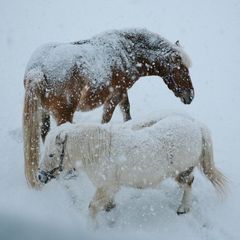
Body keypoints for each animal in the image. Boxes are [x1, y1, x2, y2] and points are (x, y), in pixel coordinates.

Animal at [23, 29, 194, 188]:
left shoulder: (123, 93)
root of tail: (38, 69)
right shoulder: (114, 96)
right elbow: (106, 120)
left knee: (45, 133)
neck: (125, 50)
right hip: (64, 114)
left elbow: (127, 112)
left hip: (44, 112)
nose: (190, 96)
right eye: (181, 69)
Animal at [38, 114, 228, 218]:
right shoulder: (109, 186)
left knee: (188, 183)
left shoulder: (106, 185)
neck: (97, 150)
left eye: (51, 154)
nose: (40, 176)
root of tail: (196, 125)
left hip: (181, 170)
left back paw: (183, 208)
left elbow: (92, 206)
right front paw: (109, 207)